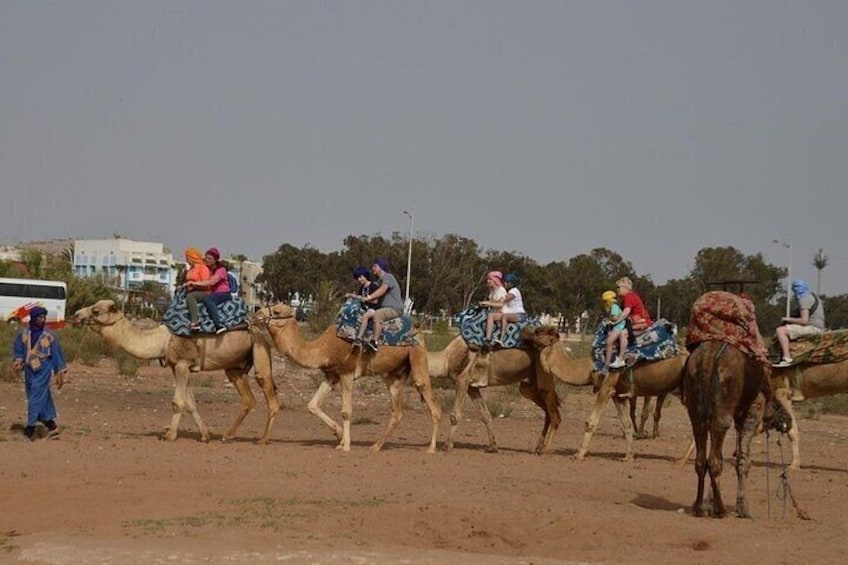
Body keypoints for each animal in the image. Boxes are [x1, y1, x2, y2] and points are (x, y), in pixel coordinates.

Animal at [71, 302, 280, 442]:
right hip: (235, 368)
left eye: (96, 310)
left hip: (260, 349)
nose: (76, 315)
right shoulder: (178, 367)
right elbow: (190, 403)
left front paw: (169, 435)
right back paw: (227, 436)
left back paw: (263, 440)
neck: (162, 340)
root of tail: (259, 328)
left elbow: (177, 402)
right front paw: (205, 436)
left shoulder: (182, 363)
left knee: (270, 394)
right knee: (248, 399)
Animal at [253, 302, 440, 452]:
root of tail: (418, 327)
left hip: (417, 355)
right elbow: (312, 405)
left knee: (429, 399)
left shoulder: (347, 374)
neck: (323, 348)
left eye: (276, 311)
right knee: (397, 412)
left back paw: (431, 448)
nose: (256, 314)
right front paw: (339, 435)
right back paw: (376, 446)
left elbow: (346, 411)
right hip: (395, 375)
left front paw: (346, 446)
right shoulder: (331, 375)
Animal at [428, 330, 592, 454]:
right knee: (547, 412)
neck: (447, 358)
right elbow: (485, 415)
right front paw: (493, 446)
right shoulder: (472, 387)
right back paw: (538, 447)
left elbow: (455, 415)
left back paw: (543, 450)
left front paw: (447, 446)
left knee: (554, 414)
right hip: (527, 387)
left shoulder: (462, 381)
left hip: (544, 377)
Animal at [684, 338, 772, 516]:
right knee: (714, 458)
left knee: (702, 458)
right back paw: (721, 509)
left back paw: (699, 507)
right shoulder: (754, 409)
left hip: (695, 403)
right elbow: (743, 461)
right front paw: (743, 508)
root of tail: (707, 359)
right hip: (723, 405)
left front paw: (709, 503)